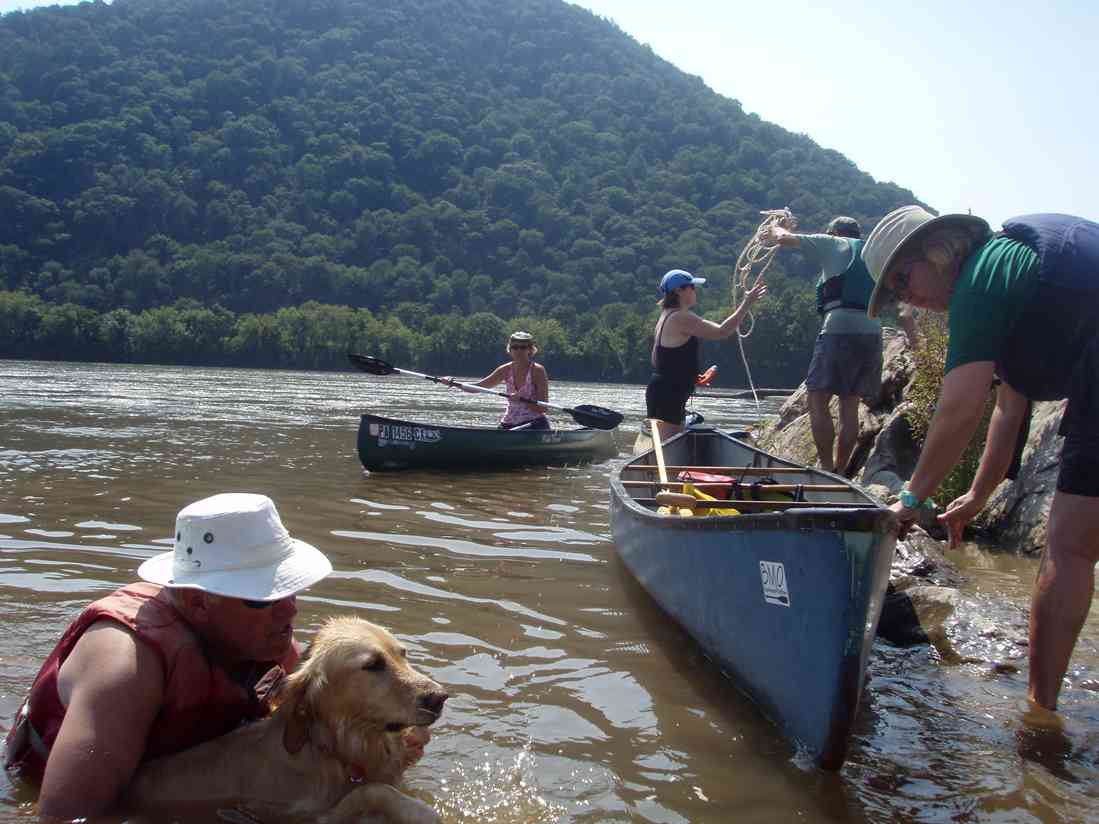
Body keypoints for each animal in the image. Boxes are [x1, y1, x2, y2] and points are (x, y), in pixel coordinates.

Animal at [127, 615, 450, 821]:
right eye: (372, 664)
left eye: (402, 654)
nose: (440, 697)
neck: (330, 750)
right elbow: (370, 791)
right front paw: (422, 812)